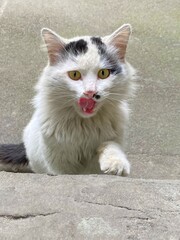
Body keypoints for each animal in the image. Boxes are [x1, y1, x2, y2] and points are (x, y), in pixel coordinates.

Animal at [0, 23, 136, 175]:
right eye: (74, 75)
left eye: (103, 73)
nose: (90, 92)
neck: (85, 125)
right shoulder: (59, 163)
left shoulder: (112, 138)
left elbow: (109, 146)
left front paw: (116, 165)